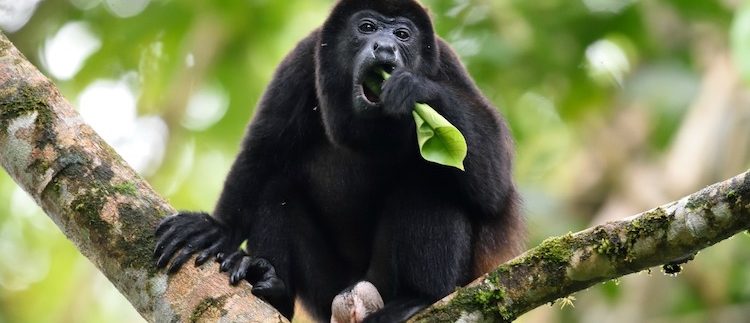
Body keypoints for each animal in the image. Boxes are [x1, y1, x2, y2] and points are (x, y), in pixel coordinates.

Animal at [153, 1, 524, 322]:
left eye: (403, 34)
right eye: (367, 27)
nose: (385, 48)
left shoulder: (447, 63)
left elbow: (493, 185)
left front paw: (417, 89)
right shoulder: (302, 59)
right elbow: (262, 153)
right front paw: (216, 228)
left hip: (387, 280)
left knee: (429, 177)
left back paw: (420, 297)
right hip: (325, 290)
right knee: (276, 187)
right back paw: (274, 288)